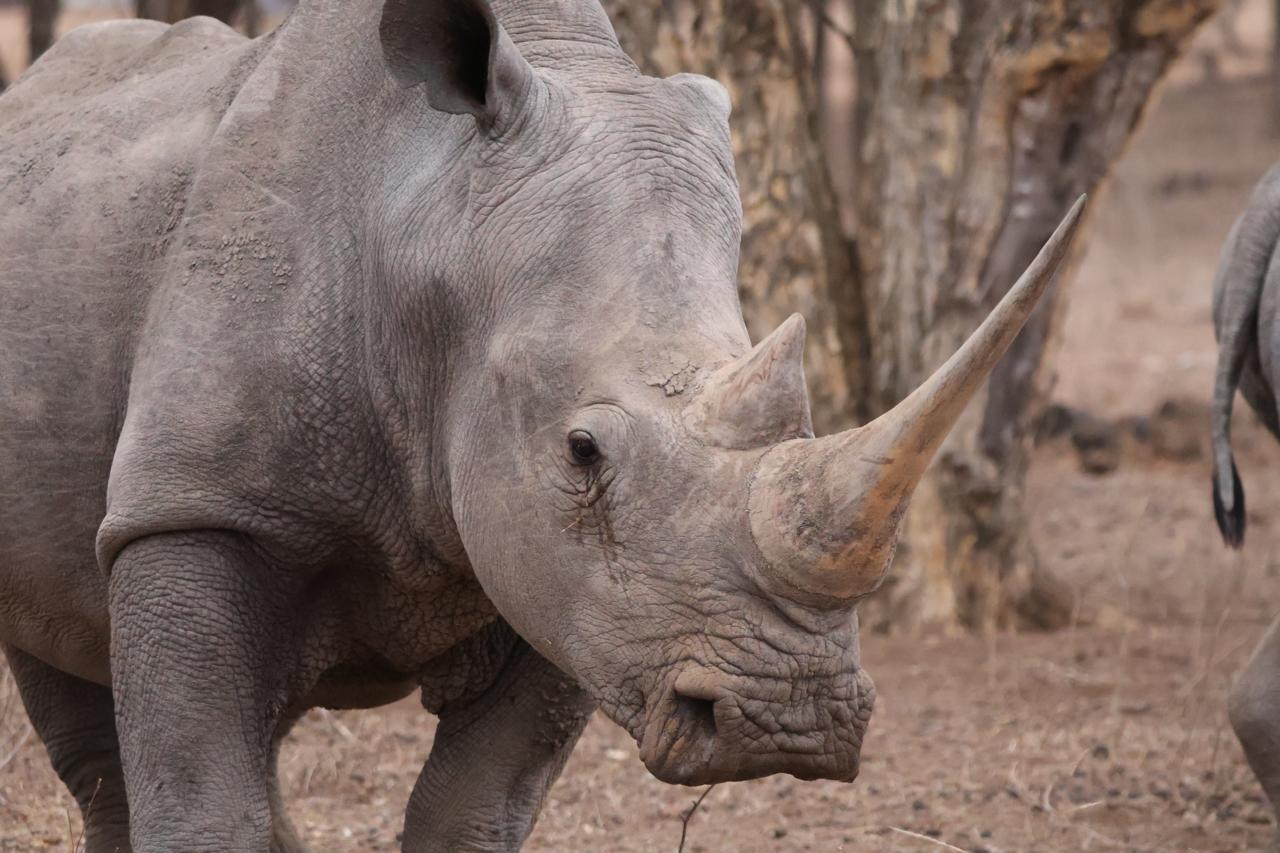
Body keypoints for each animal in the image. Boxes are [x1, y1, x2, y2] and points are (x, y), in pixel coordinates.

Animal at [0, 0, 1084, 849]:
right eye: (581, 449)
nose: (788, 720)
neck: (418, 224)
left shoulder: (572, 587)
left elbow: (472, 808)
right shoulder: (196, 506)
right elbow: (200, 805)